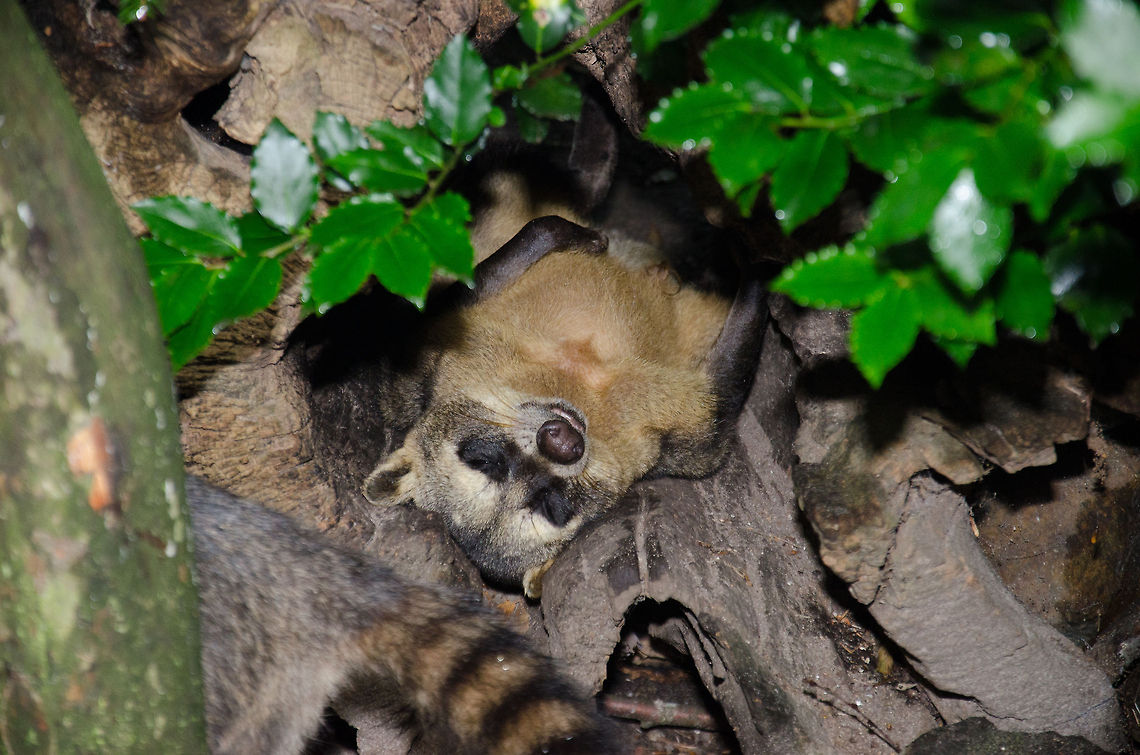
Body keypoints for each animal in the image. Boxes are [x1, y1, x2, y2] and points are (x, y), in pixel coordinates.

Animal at [362, 176, 766, 597]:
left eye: (549, 504)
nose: (562, 442)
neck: (567, 382)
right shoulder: (673, 436)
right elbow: (719, 403)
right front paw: (756, 269)